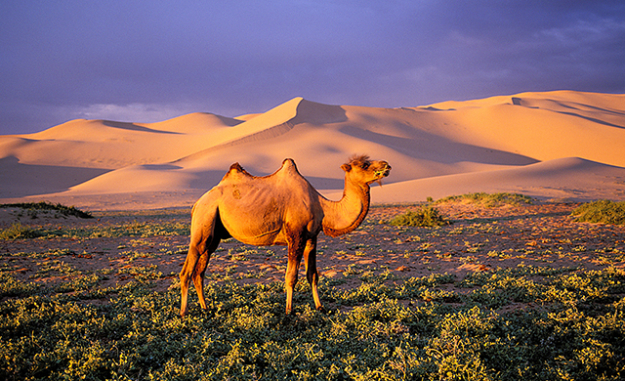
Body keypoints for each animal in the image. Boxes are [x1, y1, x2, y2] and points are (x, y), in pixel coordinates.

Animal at [178, 154, 390, 314]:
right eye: (364, 164)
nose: (387, 165)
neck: (322, 207)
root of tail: (196, 204)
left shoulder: (311, 238)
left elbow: (313, 274)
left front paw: (320, 307)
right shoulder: (295, 235)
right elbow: (291, 276)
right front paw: (289, 311)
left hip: (213, 236)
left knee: (199, 272)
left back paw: (206, 309)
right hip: (204, 221)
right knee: (187, 270)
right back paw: (183, 313)